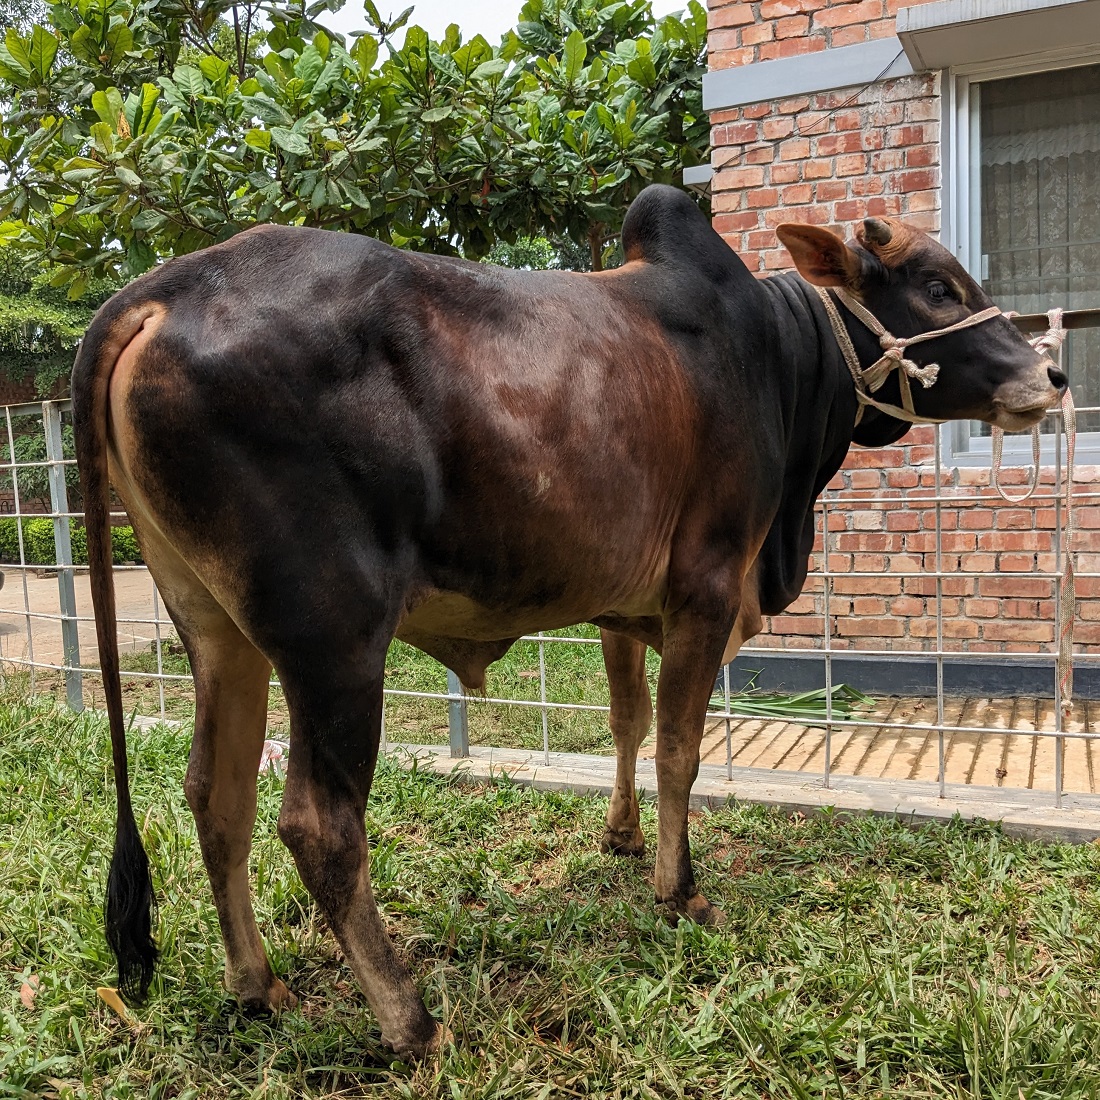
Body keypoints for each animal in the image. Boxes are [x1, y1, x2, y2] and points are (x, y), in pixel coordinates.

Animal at [70, 182, 1064, 1056]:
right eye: (938, 287)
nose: (1052, 373)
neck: (781, 361)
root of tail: (163, 289)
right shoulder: (706, 588)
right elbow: (680, 749)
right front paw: (680, 891)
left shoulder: (625, 608)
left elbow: (628, 723)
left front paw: (622, 840)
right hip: (334, 642)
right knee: (319, 824)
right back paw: (411, 1021)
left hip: (214, 628)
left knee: (217, 795)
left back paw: (258, 986)